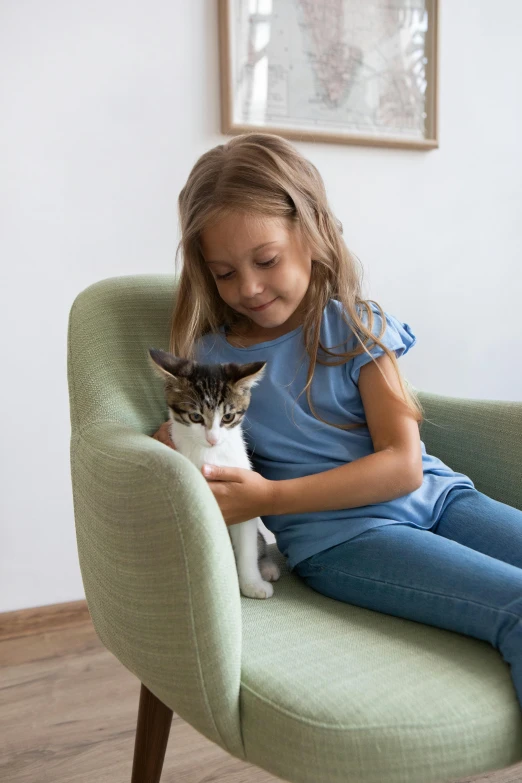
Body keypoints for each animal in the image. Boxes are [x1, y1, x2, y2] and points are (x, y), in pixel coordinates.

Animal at [148, 350, 278, 600]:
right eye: (195, 417)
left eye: (228, 417)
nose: (213, 439)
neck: (211, 454)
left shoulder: (243, 494)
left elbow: (247, 545)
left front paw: (251, 583)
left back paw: (266, 568)